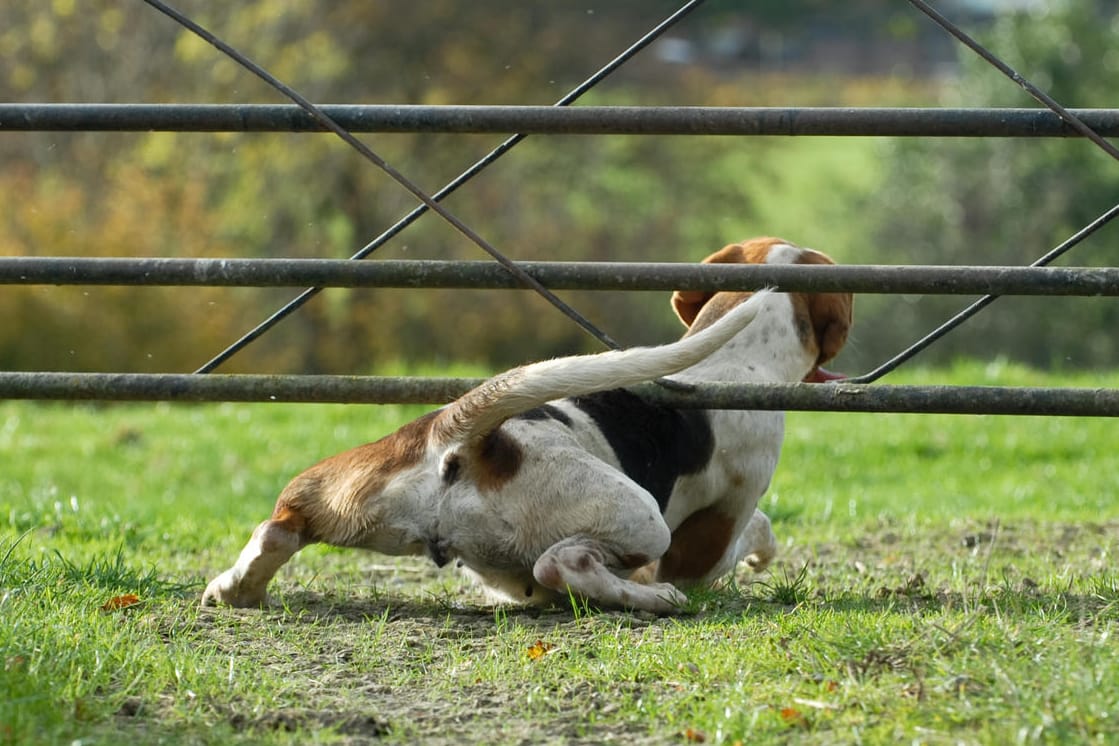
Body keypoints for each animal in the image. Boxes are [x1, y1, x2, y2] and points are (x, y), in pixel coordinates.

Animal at [203, 238, 845, 612]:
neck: (739, 357)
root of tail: (466, 438)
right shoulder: (708, 543)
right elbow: (755, 531)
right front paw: (757, 557)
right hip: (641, 518)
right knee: (563, 564)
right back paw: (650, 598)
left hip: (347, 497)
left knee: (279, 527)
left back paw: (237, 589)